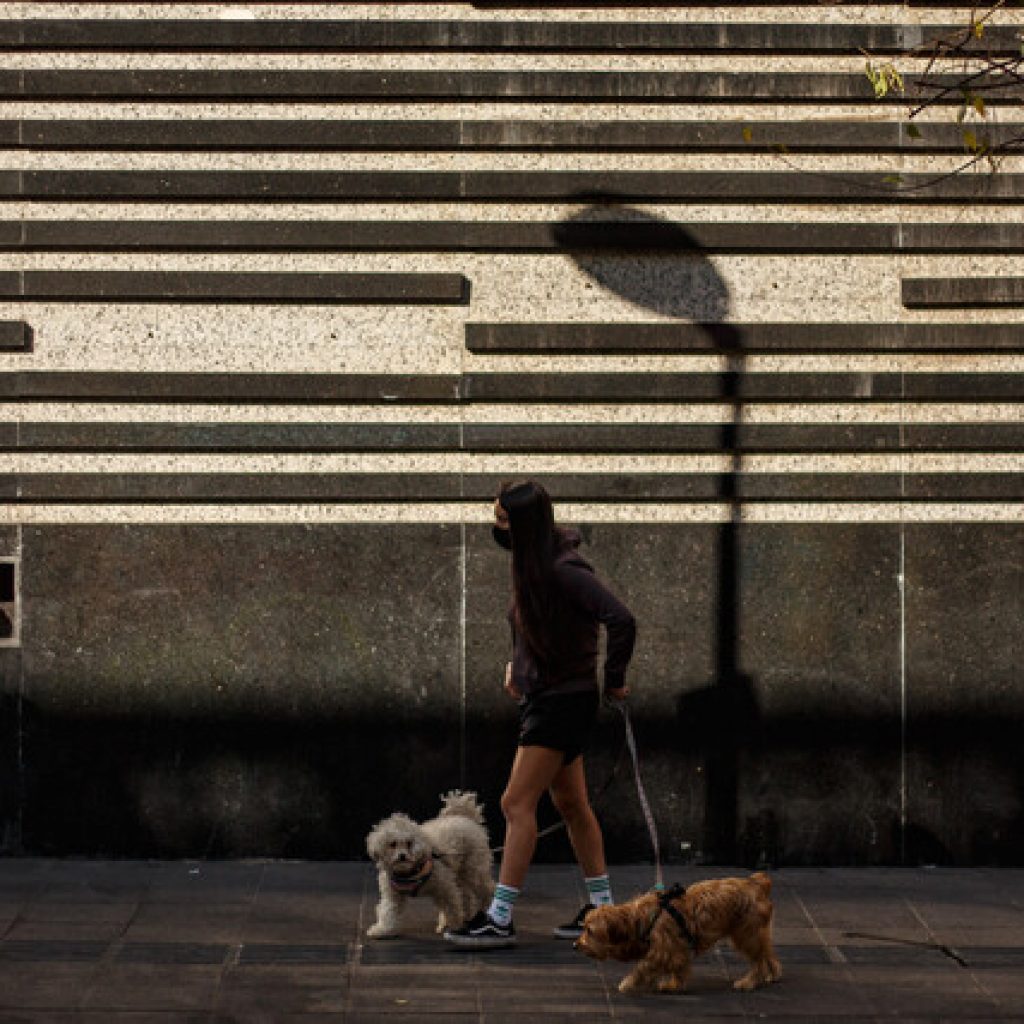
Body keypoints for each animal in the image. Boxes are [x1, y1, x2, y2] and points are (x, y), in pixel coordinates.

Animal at [366, 786, 493, 937]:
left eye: (409, 843)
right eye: (393, 844)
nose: (402, 856)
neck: (409, 872)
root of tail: (464, 818)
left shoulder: (444, 886)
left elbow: (452, 906)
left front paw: (456, 925)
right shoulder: (393, 894)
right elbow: (388, 910)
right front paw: (382, 929)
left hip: (474, 869)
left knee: (486, 889)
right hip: (459, 873)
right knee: (466, 894)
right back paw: (467, 915)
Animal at [573, 872, 778, 991]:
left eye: (590, 931)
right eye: (584, 927)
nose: (575, 945)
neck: (639, 918)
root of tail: (757, 883)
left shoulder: (664, 949)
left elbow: (644, 965)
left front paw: (629, 982)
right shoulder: (676, 950)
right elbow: (678, 967)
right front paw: (673, 984)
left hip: (746, 933)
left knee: (759, 960)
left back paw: (749, 981)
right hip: (757, 932)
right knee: (767, 954)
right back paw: (772, 974)